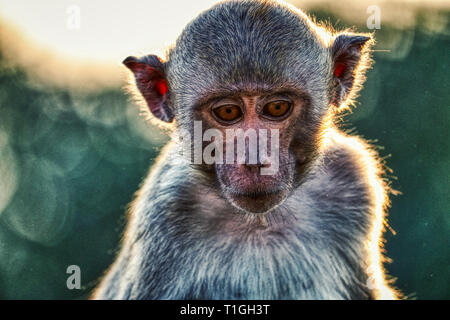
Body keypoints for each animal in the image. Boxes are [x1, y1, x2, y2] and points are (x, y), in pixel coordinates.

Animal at [89, 0, 400, 300]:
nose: (254, 161)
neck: (260, 220)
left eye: (277, 107)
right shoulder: (167, 208)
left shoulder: (351, 181)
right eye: (228, 112)